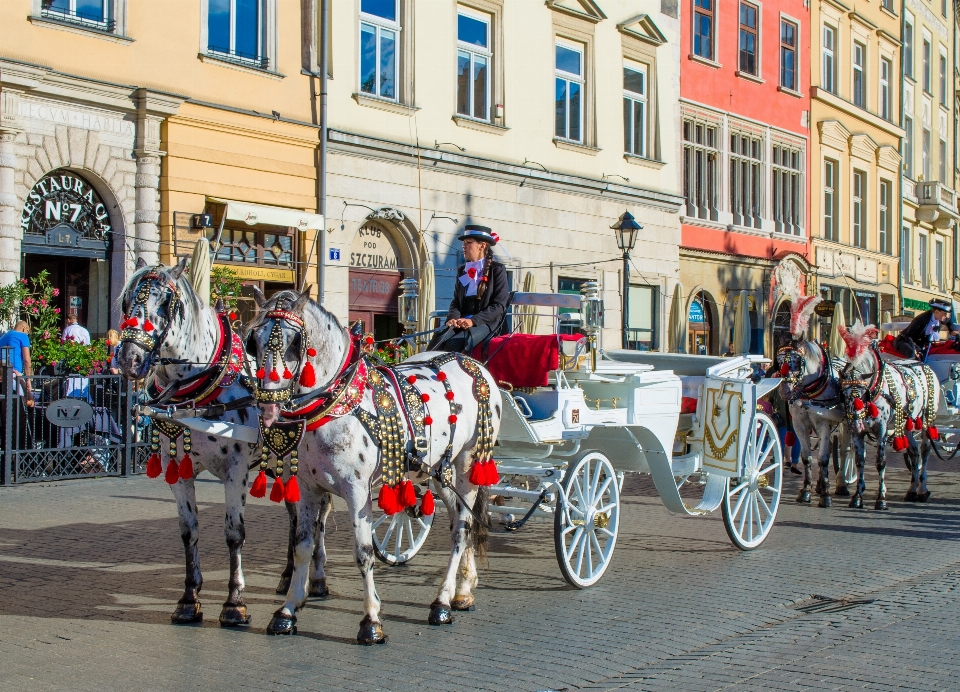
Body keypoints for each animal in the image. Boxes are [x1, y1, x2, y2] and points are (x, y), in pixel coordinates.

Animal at [116, 258, 330, 628]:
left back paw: (316, 578)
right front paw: (189, 599)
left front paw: (234, 603)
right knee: (296, 517)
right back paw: (289, 577)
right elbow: (188, 531)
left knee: (318, 518)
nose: (130, 360)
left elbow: (234, 533)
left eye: (166, 304)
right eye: (127, 301)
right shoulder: (178, 471)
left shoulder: (236, 470)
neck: (198, 390)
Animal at [244, 288, 502, 644]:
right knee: (460, 523)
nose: (268, 405)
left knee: (463, 528)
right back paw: (463, 590)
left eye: (295, 341)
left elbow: (363, 552)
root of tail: (475, 364)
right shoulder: (308, 489)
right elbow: (302, 547)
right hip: (441, 470)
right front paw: (288, 610)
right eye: (253, 341)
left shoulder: (356, 490)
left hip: (468, 463)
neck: (336, 403)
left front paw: (371, 620)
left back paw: (442, 602)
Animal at [836, 324, 940, 508]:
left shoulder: (882, 430)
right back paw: (912, 490)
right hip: (906, 425)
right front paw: (857, 496)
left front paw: (881, 498)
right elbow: (859, 461)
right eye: (843, 394)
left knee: (925, 451)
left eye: (863, 395)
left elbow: (881, 462)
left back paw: (922, 489)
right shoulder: (858, 434)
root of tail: (923, 365)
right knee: (914, 452)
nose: (856, 425)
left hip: (927, 421)